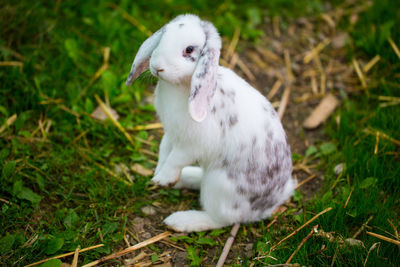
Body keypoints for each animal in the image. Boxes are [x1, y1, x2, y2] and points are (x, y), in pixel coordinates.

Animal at [126, 14, 296, 232]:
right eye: (163, 36)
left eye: (189, 49)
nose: (157, 67)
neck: (181, 86)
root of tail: (272, 203)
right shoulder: (171, 134)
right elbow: (164, 151)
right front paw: (159, 176)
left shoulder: (192, 145)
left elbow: (175, 159)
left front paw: (162, 179)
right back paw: (185, 179)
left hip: (218, 186)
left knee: (220, 219)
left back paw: (180, 221)